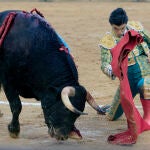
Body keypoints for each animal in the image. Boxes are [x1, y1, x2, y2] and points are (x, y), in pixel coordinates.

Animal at [0, 9, 103, 140]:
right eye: (65, 109)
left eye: (76, 115)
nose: (62, 136)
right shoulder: (8, 81)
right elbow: (16, 105)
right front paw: (14, 130)